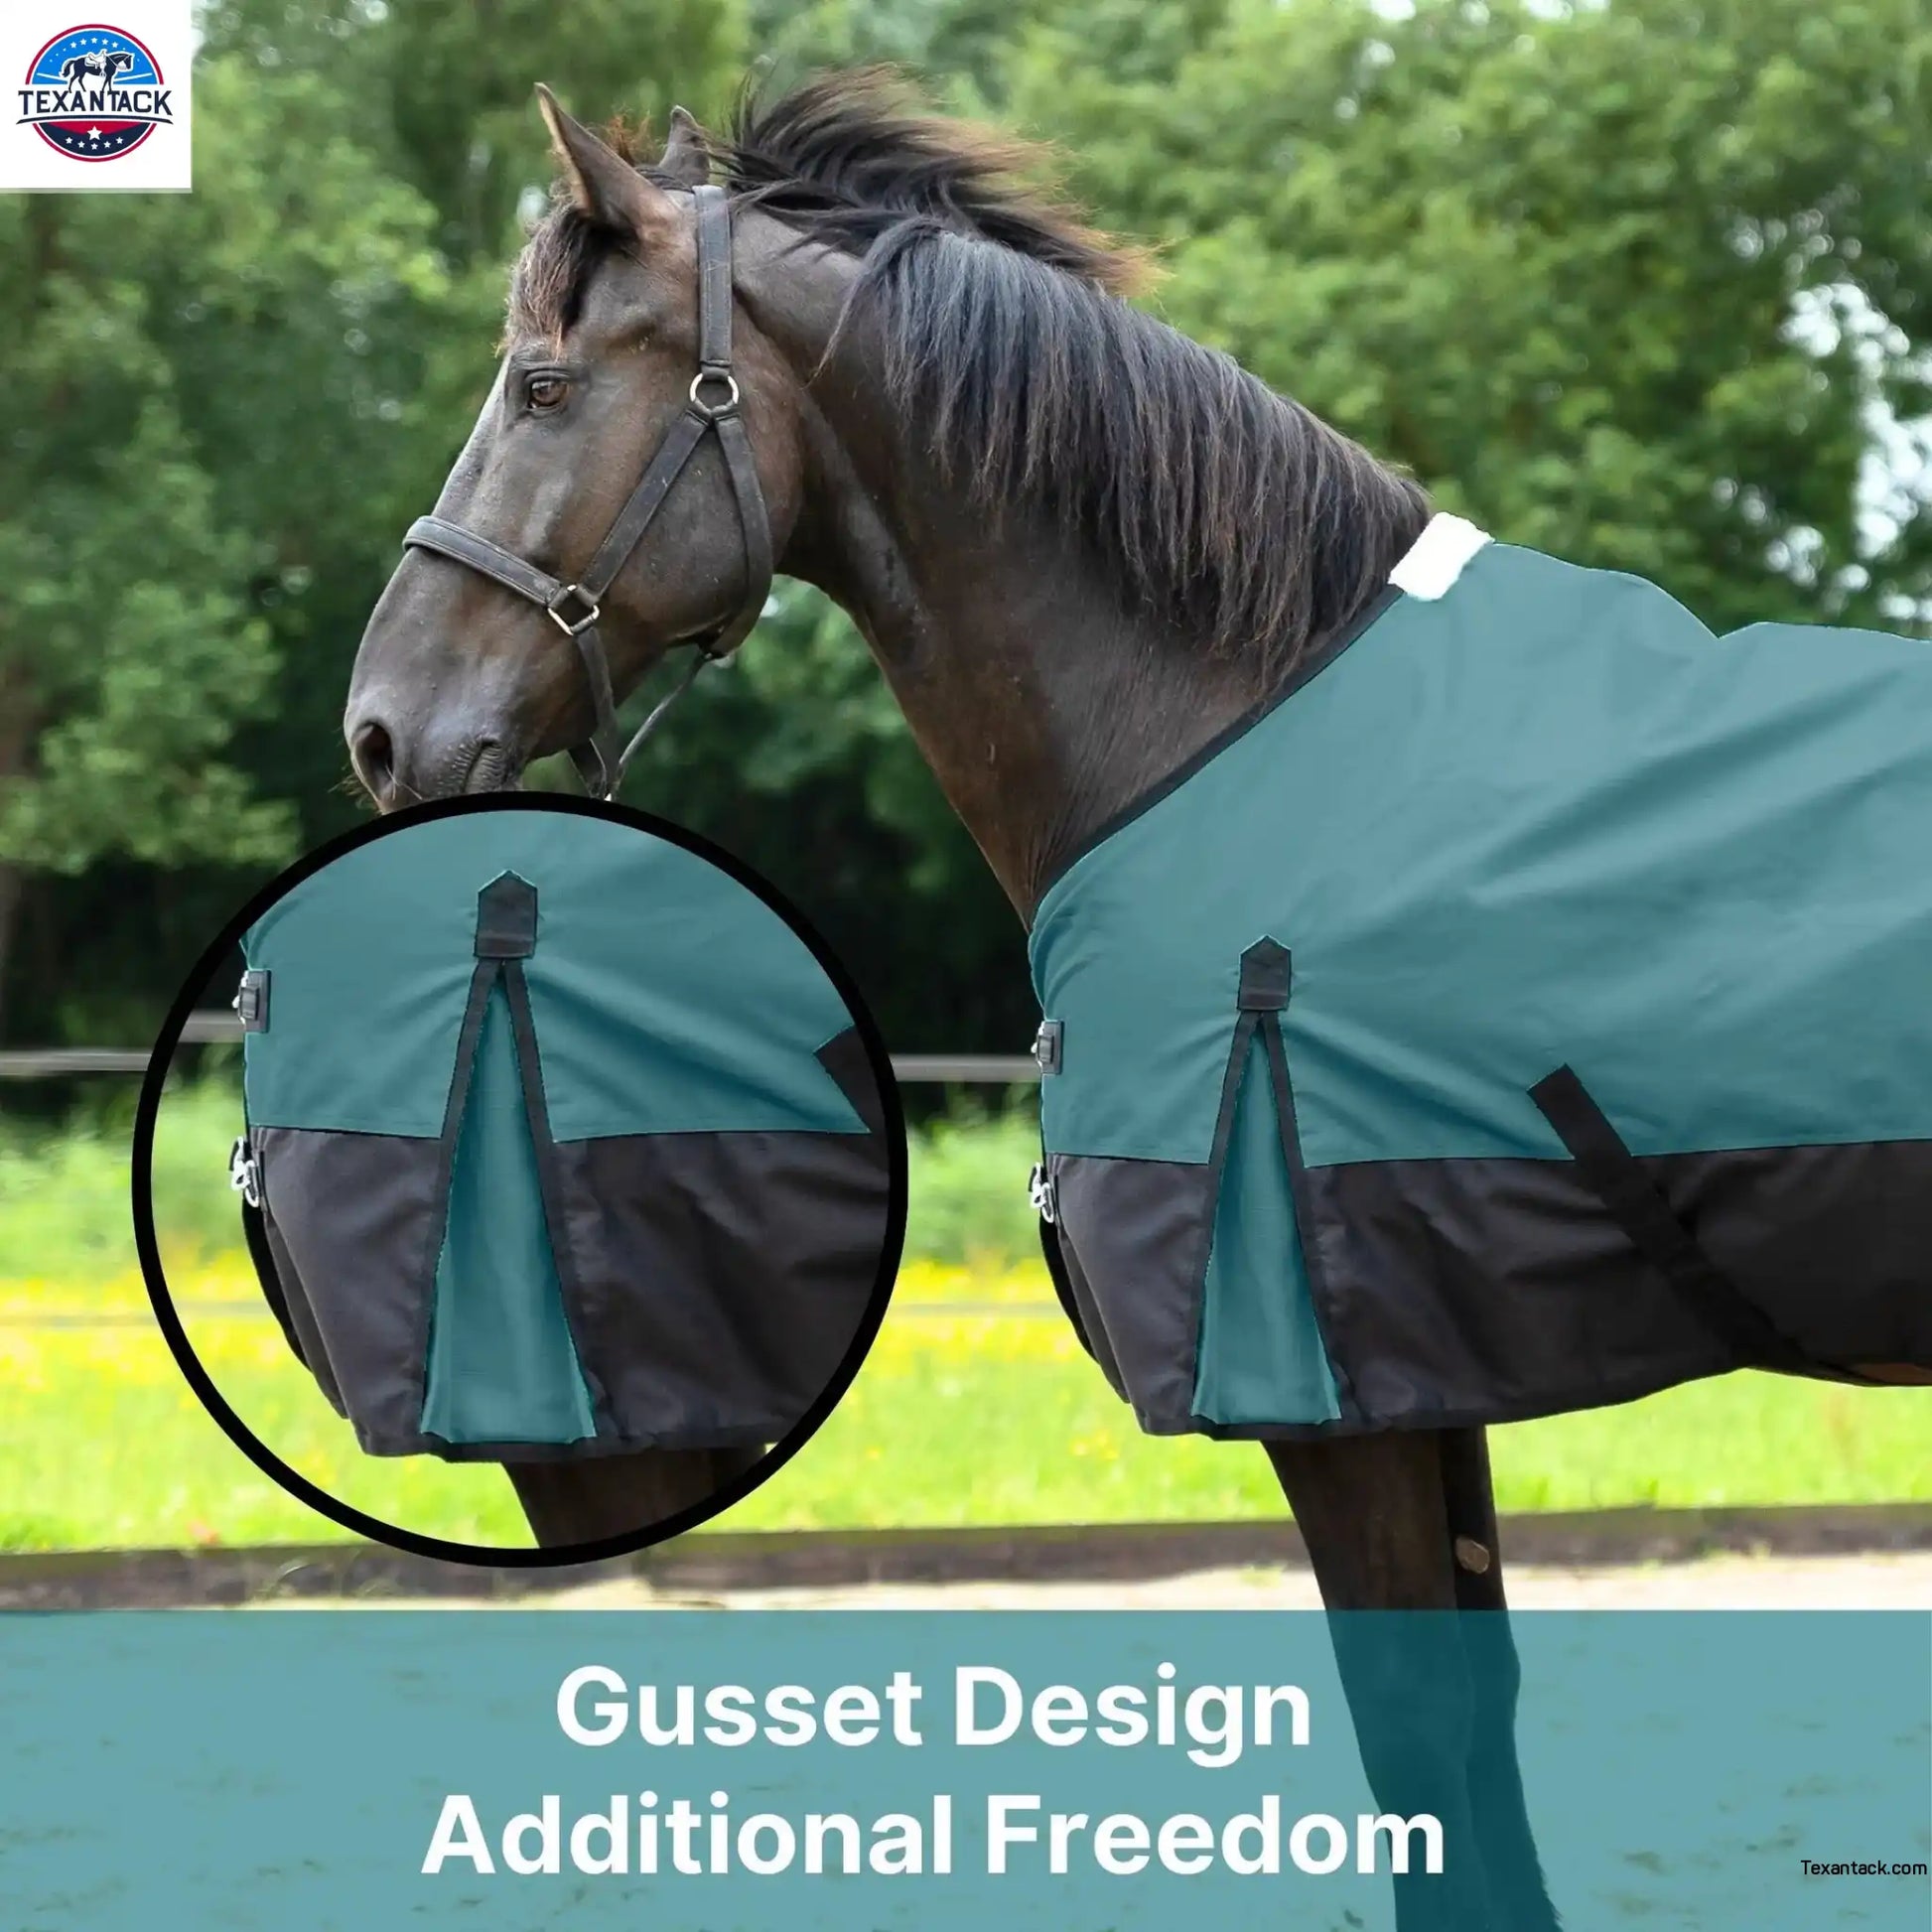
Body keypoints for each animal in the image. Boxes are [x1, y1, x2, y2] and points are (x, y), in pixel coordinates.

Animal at [341, 70, 1923, 1929]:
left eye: (544, 386)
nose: (381, 731)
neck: (1235, 732)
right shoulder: (1415, 1371)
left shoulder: (1328, 1382)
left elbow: (1419, 1742)